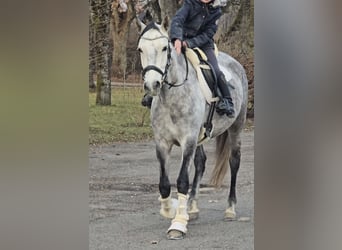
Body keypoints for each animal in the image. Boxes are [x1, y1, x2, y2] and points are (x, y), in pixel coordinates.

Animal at [137, 16, 248, 239]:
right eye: (140, 49)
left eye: (164, 48)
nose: (152, 85)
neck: (172, 96)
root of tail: (236, 64)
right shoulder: (162, 143)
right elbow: (164, 184)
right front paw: (172, 209)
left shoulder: (187, 140)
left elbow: (181, 181)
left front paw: (178, 223)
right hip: (200, 137)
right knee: (201, 162)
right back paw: (192, 207)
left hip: (236, 127)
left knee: (234, 162)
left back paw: (230, 209)